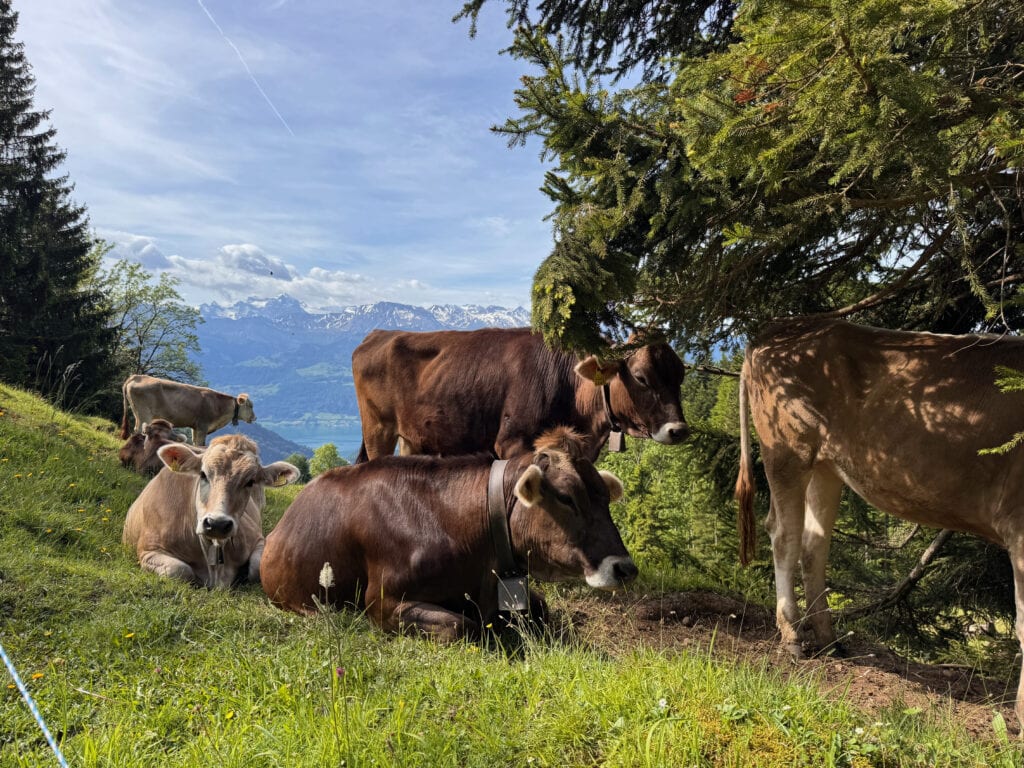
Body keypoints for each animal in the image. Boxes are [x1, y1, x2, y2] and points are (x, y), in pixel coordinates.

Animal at [120, 374, 256, 446]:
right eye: (250, 405)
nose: (254, 418)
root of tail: (137, 376)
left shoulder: (195, 427)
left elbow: (195, 443)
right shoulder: (202, 426)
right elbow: (201, 444)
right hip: (144, 413)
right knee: (138, 430)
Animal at [122, 434, 300, 589]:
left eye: (250, 482)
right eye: (203, 474)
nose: (217, 524)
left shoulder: (259, 539)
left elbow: (255, 569)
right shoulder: (148, 550)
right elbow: (180, 570)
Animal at [260, 427, 638, 639]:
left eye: (605, 497)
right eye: (566, 497)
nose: (625, 568)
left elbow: (542, 608)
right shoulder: (381, 602)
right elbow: (461, 626)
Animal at [352, 327, 688, 463]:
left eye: (681, 376)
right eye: (641, 377)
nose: (679, 430)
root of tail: (379, 333)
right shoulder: (513, 443)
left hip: (413, 437)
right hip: (378, 430)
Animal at [734, 318, 1024, 724]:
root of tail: (776, 330)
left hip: (827, 466)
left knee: (813, 544)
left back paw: (829, 640)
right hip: (788, 449)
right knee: (784, 536)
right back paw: (793, 637)